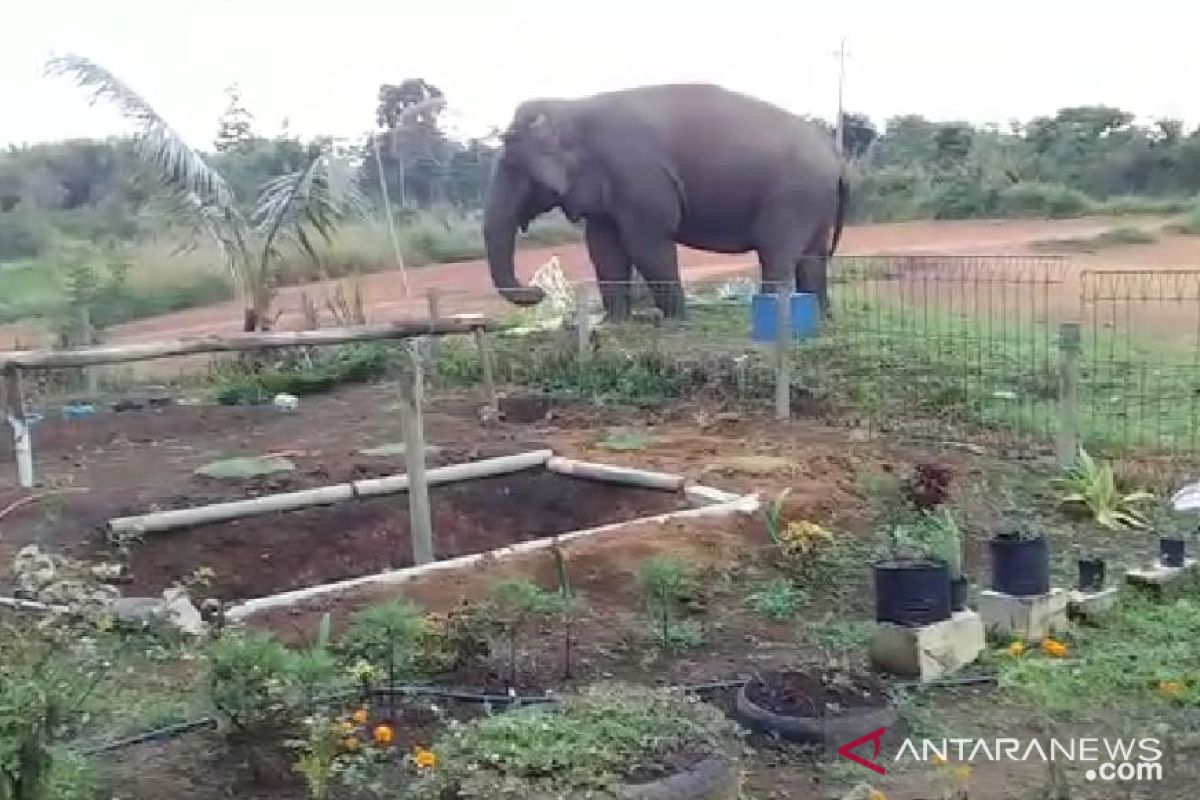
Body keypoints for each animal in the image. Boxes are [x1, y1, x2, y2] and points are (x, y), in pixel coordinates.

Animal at [477, 81, 844, 319]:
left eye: (512, 163)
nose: (539, 291)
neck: (572, 106)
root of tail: (835, 156)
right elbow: (603, 247)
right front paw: (616, 322)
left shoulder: (639, 176)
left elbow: (646, 243)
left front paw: (676, 320)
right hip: (815, 202)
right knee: (811, 258)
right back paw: (822, 316)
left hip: (793, 196)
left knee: (777, 253)